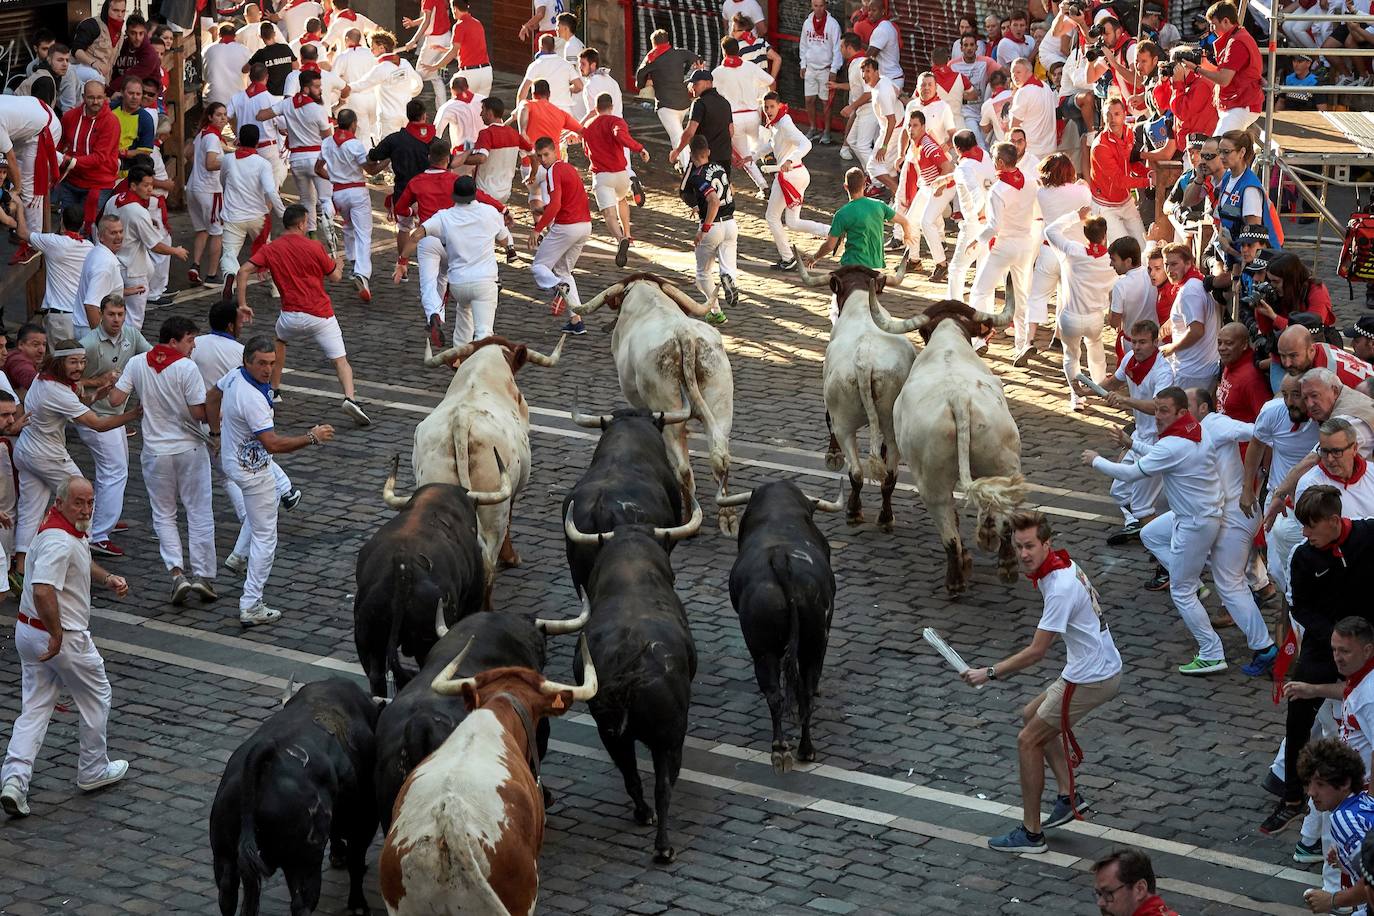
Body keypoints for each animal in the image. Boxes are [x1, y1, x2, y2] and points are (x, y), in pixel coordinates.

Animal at [574, 276, 741, 538]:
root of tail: (685, 335)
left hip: (670, 410)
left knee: (684, 468)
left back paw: (687, 520)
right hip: (721, 405)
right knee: (721, 455)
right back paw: (728, 517)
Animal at [813, 265, 912, 530]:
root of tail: (865, 360)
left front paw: (832, 456)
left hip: (845, 422)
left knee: (856, 471)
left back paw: (853, 511)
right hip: (892, 423)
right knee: (889, 475)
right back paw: (886, 517)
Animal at [862, 293, 1027, 596]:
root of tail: (959, 399)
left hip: (932, 481)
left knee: (949, 531)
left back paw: (955, 579)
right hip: (1004, 463)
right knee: (1005, 515)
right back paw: (1006, 564)